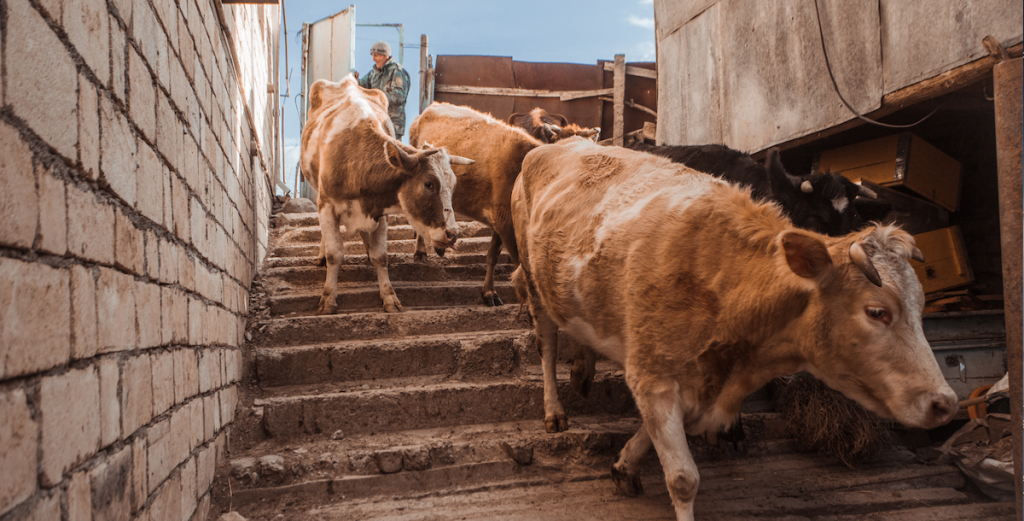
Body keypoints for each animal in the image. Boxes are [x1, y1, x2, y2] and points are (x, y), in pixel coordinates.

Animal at [296, 75, 471, 313]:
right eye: (429, 184)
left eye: (453, 186)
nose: (453, 235)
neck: (355, 158)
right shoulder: (327, 205)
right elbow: (335, 254)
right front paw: (328, 299)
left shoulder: (379, 209)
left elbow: (381, 256)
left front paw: (389, 297)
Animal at [512, 137, 958, 519]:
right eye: (876, 311)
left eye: (921, 307)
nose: (945, 403)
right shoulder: (651, 374)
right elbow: (683, 478)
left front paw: (624, 466)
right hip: (531, 277)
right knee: (546, 343)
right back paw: (554, 411)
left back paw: (583, 370)